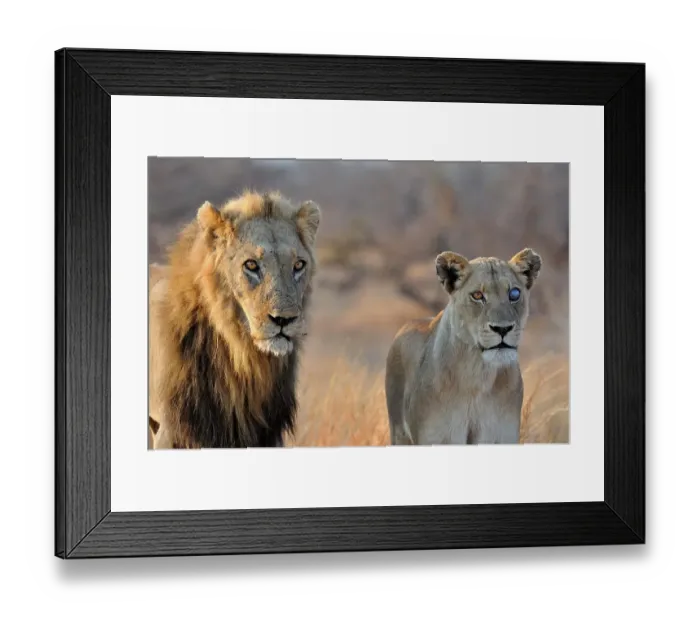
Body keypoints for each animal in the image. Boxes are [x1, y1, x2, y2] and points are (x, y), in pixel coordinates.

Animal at [385, 248, 542, 446]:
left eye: (514, 294)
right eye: (477, 296)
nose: (502, 329)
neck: (478, 375)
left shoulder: (500, 436)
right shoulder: (437, 438)